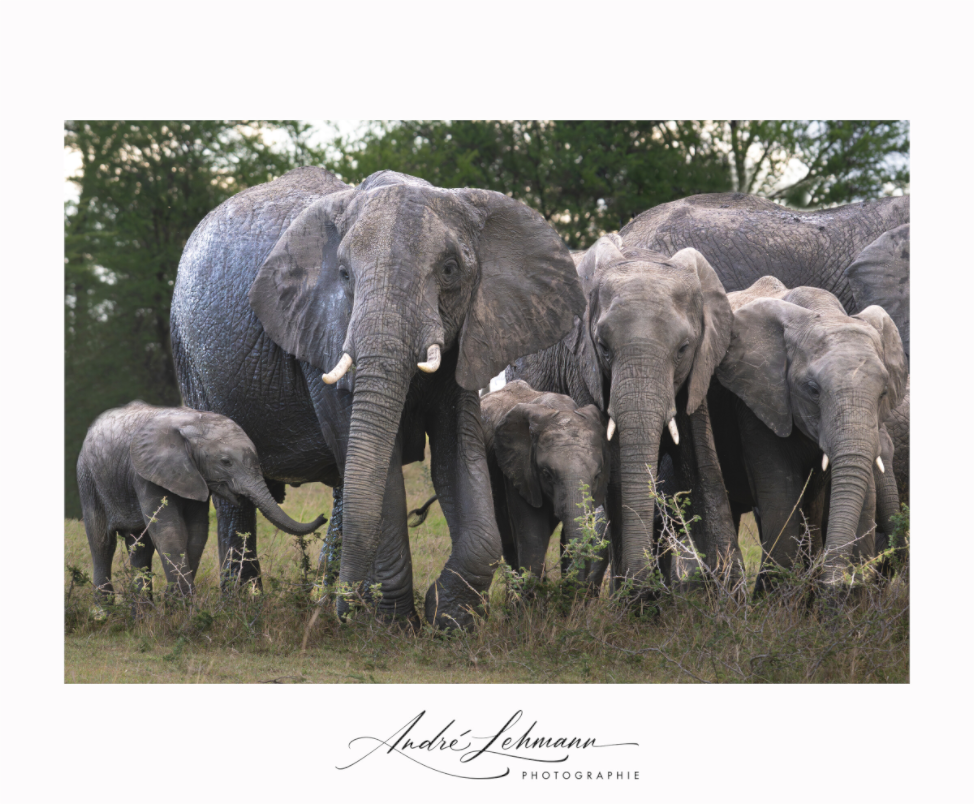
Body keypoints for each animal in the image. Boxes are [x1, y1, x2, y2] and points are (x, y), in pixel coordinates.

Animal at [76, 402, 326, 603]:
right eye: (225, 462)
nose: (323, 516)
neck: (194, 421)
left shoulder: (195, 476)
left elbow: (196, 532)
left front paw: (173, 600)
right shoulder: (144, 473)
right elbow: (169, 530)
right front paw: (180, 602)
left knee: (139, 547)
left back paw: (142, 612)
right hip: (88, 480)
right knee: (102, 543)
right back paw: (105, 612)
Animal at [170, 166, 584, 629]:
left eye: (450, 270)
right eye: (344, 274)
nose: (344, 610)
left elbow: (457, 451)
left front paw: (450, 619)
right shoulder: (323, 331)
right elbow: (375, 462)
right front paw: (392, 626)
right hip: (190, 358)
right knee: (236, 497)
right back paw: (251, 604)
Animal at [509, 234, 740, 594]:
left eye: (683, 349)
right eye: (603, 347)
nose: (643, 586)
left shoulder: (699, 371)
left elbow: (702, 464)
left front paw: (729, 592)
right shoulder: (583, 369)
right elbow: (616, 470)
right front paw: (636, 598)